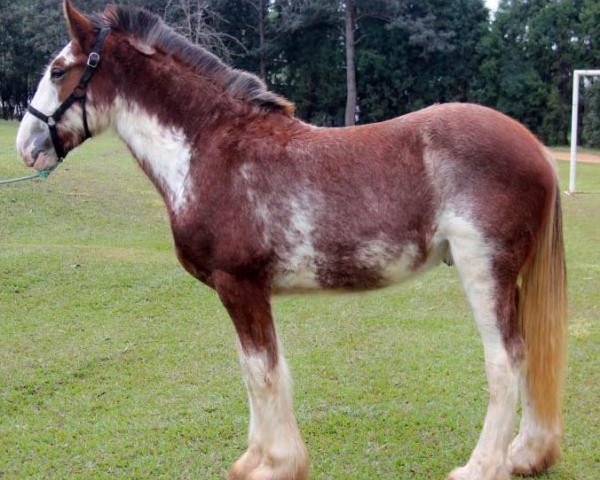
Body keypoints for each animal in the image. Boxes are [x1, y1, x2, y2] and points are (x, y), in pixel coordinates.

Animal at [14, 1, 568, 478]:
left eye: (58, 71)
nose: (26, 145)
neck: (210, 151)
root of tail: (535, 148)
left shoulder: (239, 285)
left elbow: (263, 372)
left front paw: (276, 464)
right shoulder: (243, 291)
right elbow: (252, 370)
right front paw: (255, 459)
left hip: (485, 271)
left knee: (505, 361)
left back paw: (481, 467)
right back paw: (526, 454)